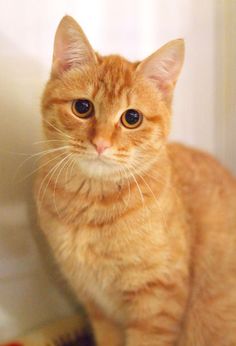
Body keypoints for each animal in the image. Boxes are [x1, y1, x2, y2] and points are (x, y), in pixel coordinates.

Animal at [34, 14, 236, 344]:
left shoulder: (157, 305)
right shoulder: (98, 309)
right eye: (82, 107)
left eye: (132, 118)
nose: (100, 143)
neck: (90, 205)